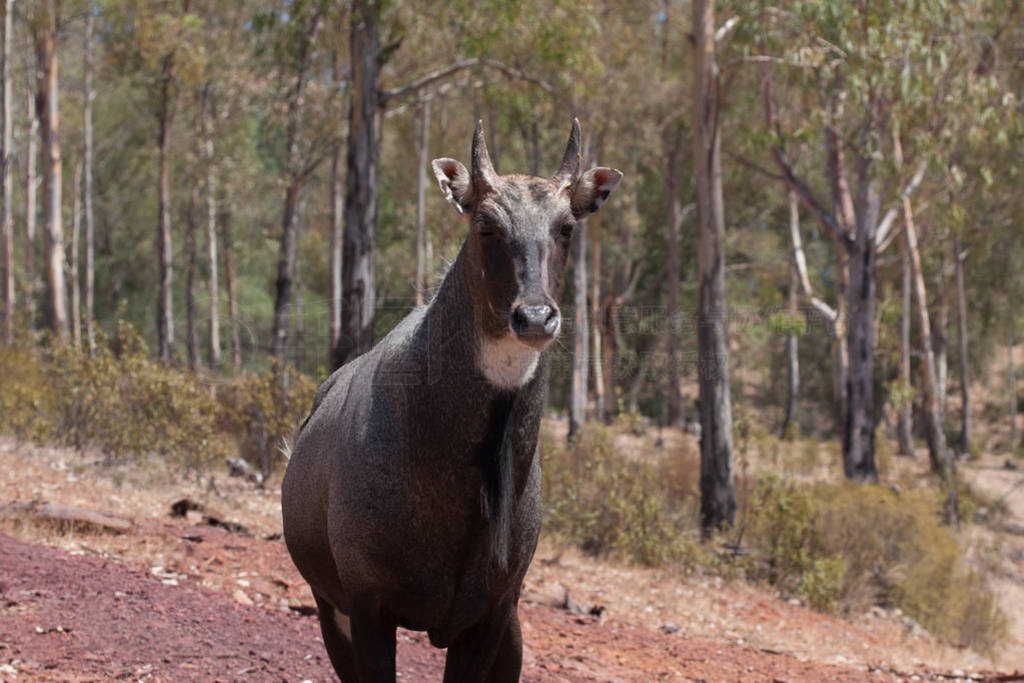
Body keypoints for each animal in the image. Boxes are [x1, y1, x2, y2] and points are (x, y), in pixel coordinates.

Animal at [282, 120, 622, 679]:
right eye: (485, 224)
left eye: (567, 227)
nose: (534, 317)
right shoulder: (368, 605)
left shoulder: (493, 614)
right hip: (331, 610)